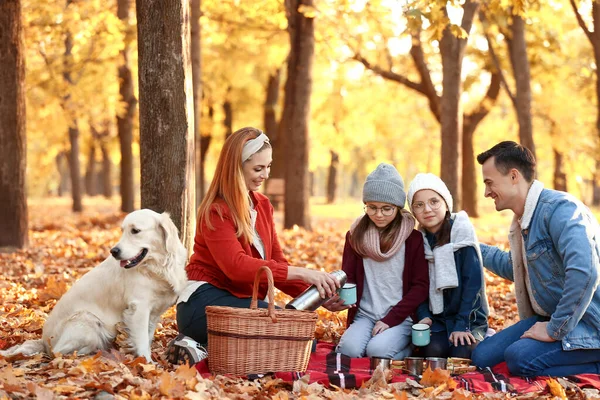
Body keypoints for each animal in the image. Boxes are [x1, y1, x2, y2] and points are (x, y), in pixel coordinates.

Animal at [0, 209, 188, 362]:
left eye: (135, 231)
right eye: (123, 231)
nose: (114, 251)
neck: (157, 266)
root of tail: (43, 341)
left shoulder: (152, 312)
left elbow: (147, 337)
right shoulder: (139, 308)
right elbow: (141, 340)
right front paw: (147, 363)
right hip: (87, 319)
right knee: (57, 352)